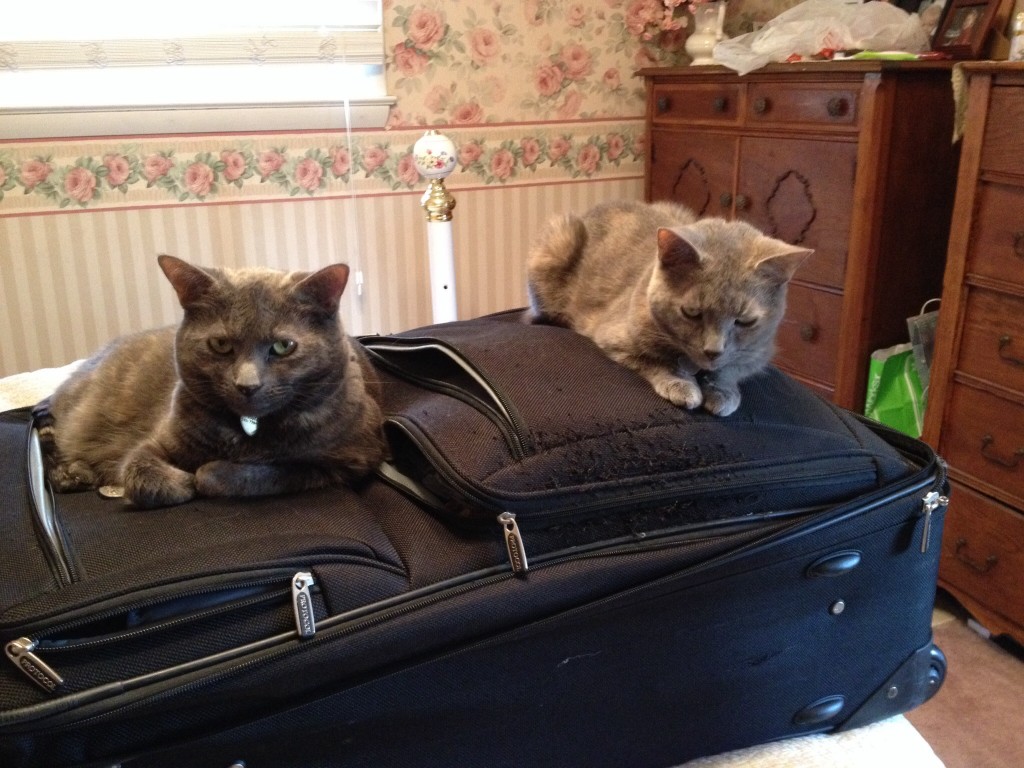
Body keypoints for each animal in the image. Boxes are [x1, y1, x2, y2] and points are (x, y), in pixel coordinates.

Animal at [37, 257, 385, 512]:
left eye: (283, 346)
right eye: (220, 344)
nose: (247, 384)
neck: (248, 433)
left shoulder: (349, 460)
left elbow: (264, 472)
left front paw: (200, 475)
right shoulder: (156, 442)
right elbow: (137, 470)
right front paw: (181, 481)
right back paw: (73, 474)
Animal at [528, 198, 806, 415]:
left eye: (745, 321)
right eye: (691, 313)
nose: (713, 351)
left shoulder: (758, 354)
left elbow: (730, 370)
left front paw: (722, 393)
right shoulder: (613, 337)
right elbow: (656, 361)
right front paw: (682, 386)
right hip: (557, 243)